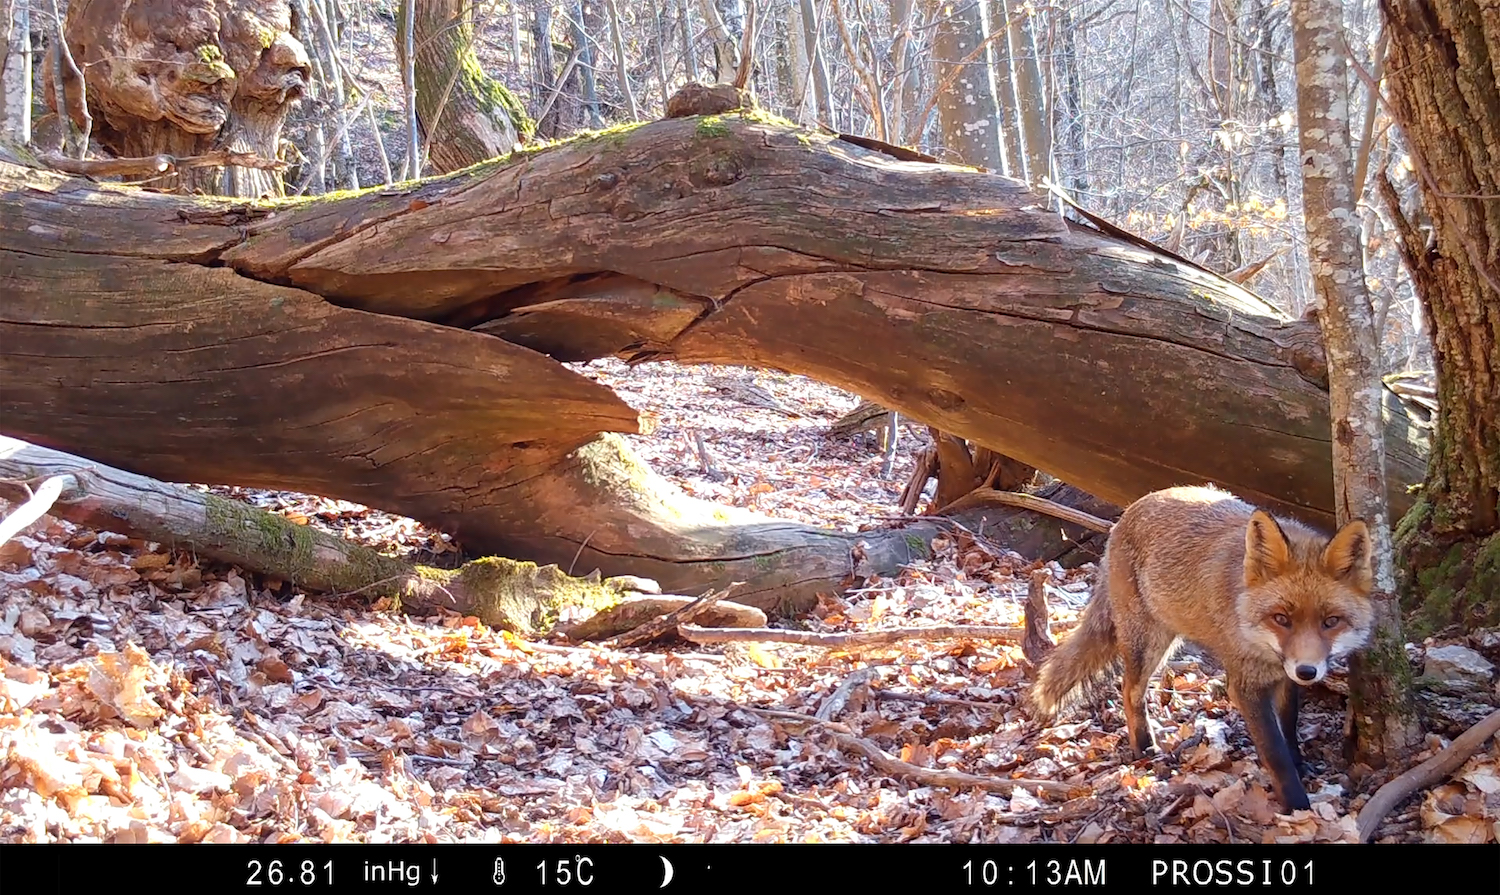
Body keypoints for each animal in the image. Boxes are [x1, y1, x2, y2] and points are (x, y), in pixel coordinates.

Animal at [1029, 485, 1376, 812]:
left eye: (1331, 621)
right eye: (1281, 619)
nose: (1307, 671)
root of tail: (1134, 507)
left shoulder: (1283, 676)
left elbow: (1288, 726)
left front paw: (1299, 763)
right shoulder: (1244, 685)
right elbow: (1274, 753)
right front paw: (1296, 805)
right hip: (1150, 643)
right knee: (1129, 690)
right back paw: (1143, 746)